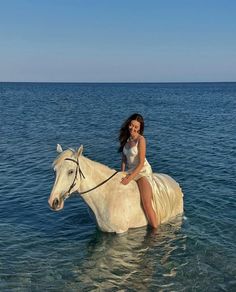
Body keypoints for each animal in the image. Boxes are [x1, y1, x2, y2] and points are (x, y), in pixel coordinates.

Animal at [48, 145, 184, 234]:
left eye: (70, 171)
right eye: (55, 171)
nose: (53, 202)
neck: (104, 195)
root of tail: (174, 182)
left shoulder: (120, 232)